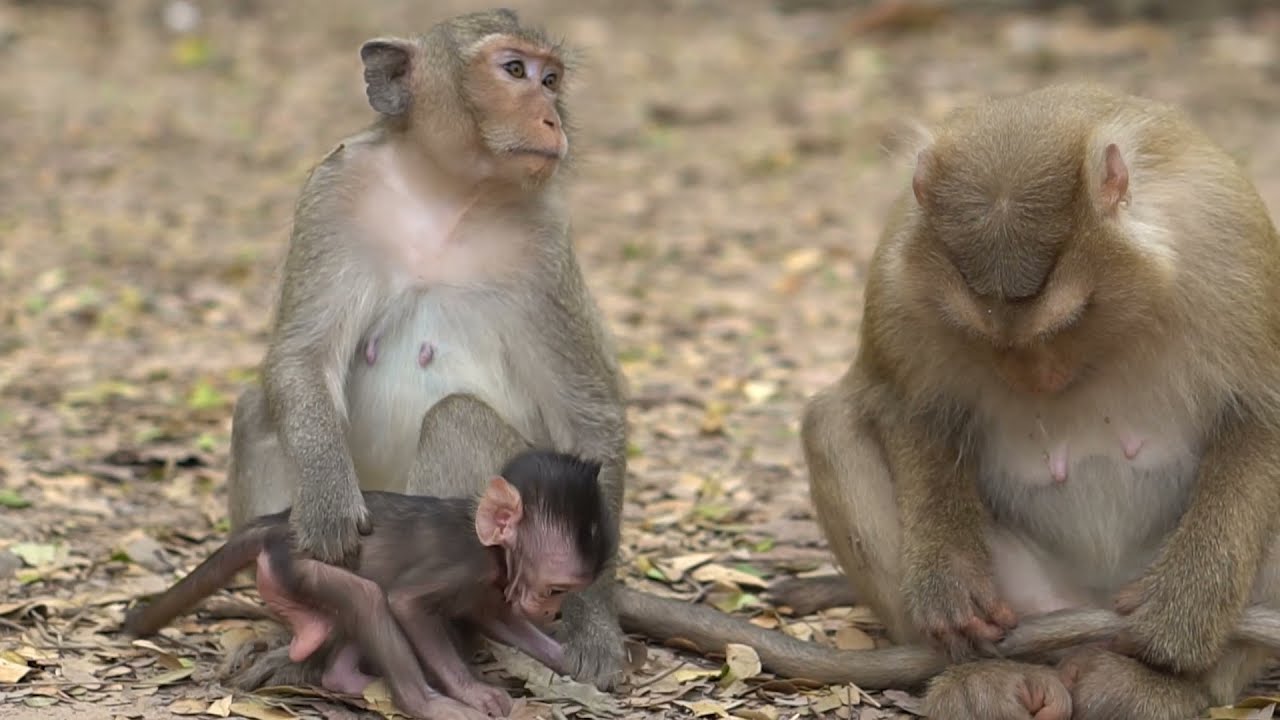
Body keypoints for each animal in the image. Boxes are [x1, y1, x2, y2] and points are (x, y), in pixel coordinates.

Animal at [125, 450, 615, 719]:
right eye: (556, 589)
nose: (552, 612)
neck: (492, 549)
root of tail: (280, 523)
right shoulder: (465, 566)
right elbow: (407, 603)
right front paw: (471, 692)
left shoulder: (490, 585)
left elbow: (497, 618)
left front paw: (574, 661)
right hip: (295, 565)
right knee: (368, 597)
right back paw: (422, 702)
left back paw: (345, 676)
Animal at [222, 8, 629, 691]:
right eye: (514, 70)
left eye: (551, 80)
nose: (550, 117)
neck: (448, 195)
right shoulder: (333, 191)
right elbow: (300, 356)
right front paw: (327, 503)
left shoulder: (545, 242)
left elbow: (589, 420)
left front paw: (594, 624)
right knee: (259, 408)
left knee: (455, 420)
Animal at [619, 83, 1280, 719]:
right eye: (980, 332)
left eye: (1071, 318)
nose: (1040, 377)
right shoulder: (897, 274)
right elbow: (909, 410)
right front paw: (950, 585)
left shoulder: (1228, 247)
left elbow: (1260, 417)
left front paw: (1181, 617)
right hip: (1022, 595)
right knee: (832, 422)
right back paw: (983, 675)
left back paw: (1157, 686)